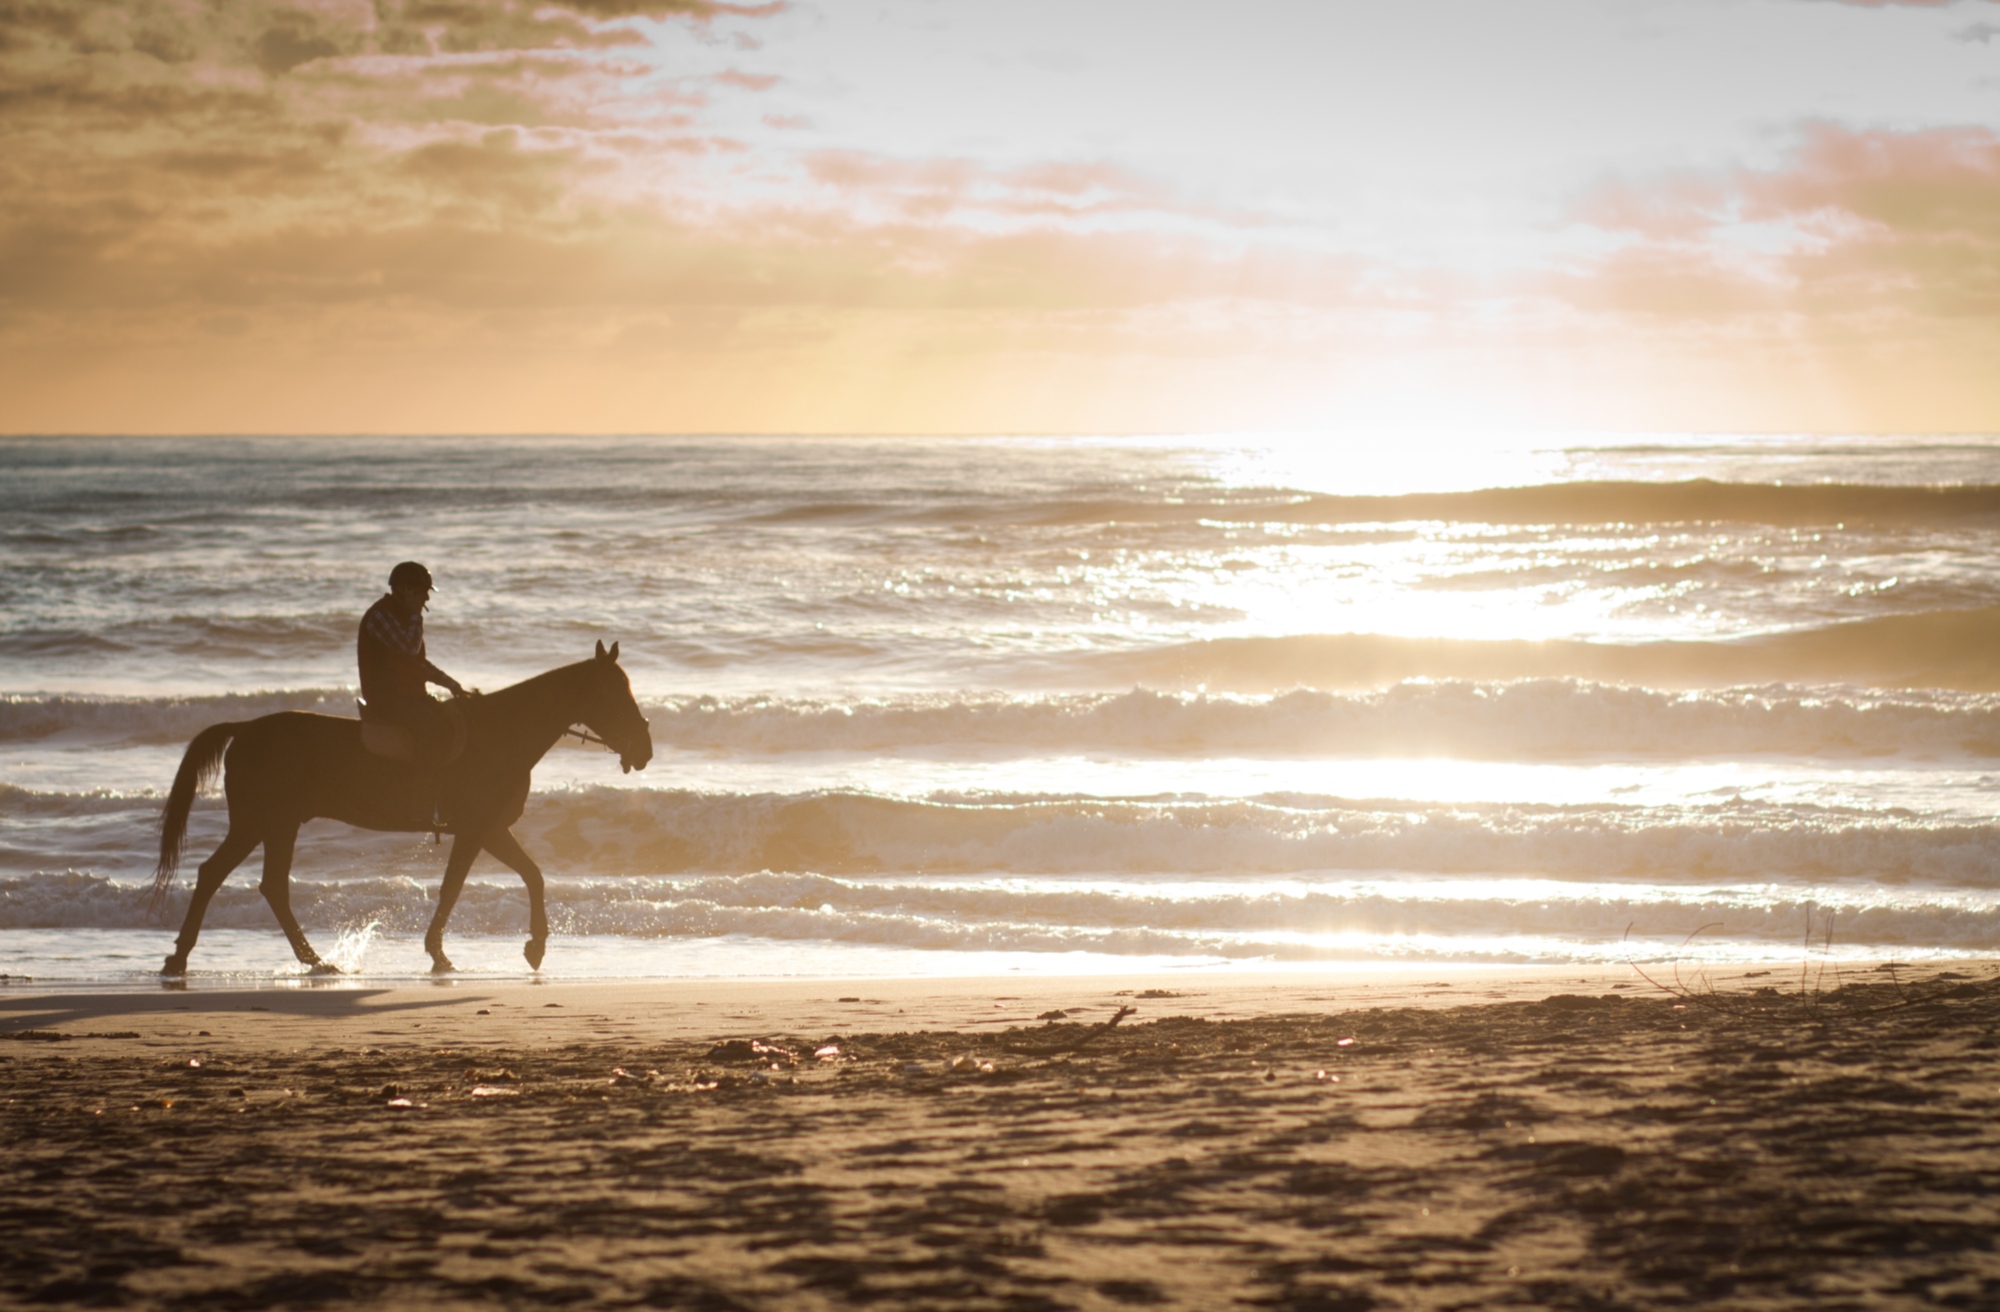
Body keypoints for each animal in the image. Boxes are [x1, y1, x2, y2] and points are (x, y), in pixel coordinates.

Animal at [159, 640, 656, 980]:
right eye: (616, 694)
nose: (645, 750)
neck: (501, 734)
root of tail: (245, 729)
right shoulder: (477, 830)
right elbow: (457, 888)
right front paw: (444, 953)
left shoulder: (490, 830)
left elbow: (531, 876)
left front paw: (532, 946)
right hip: (269, 823)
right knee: (249, 882)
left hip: (265, 824)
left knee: (238, 879)